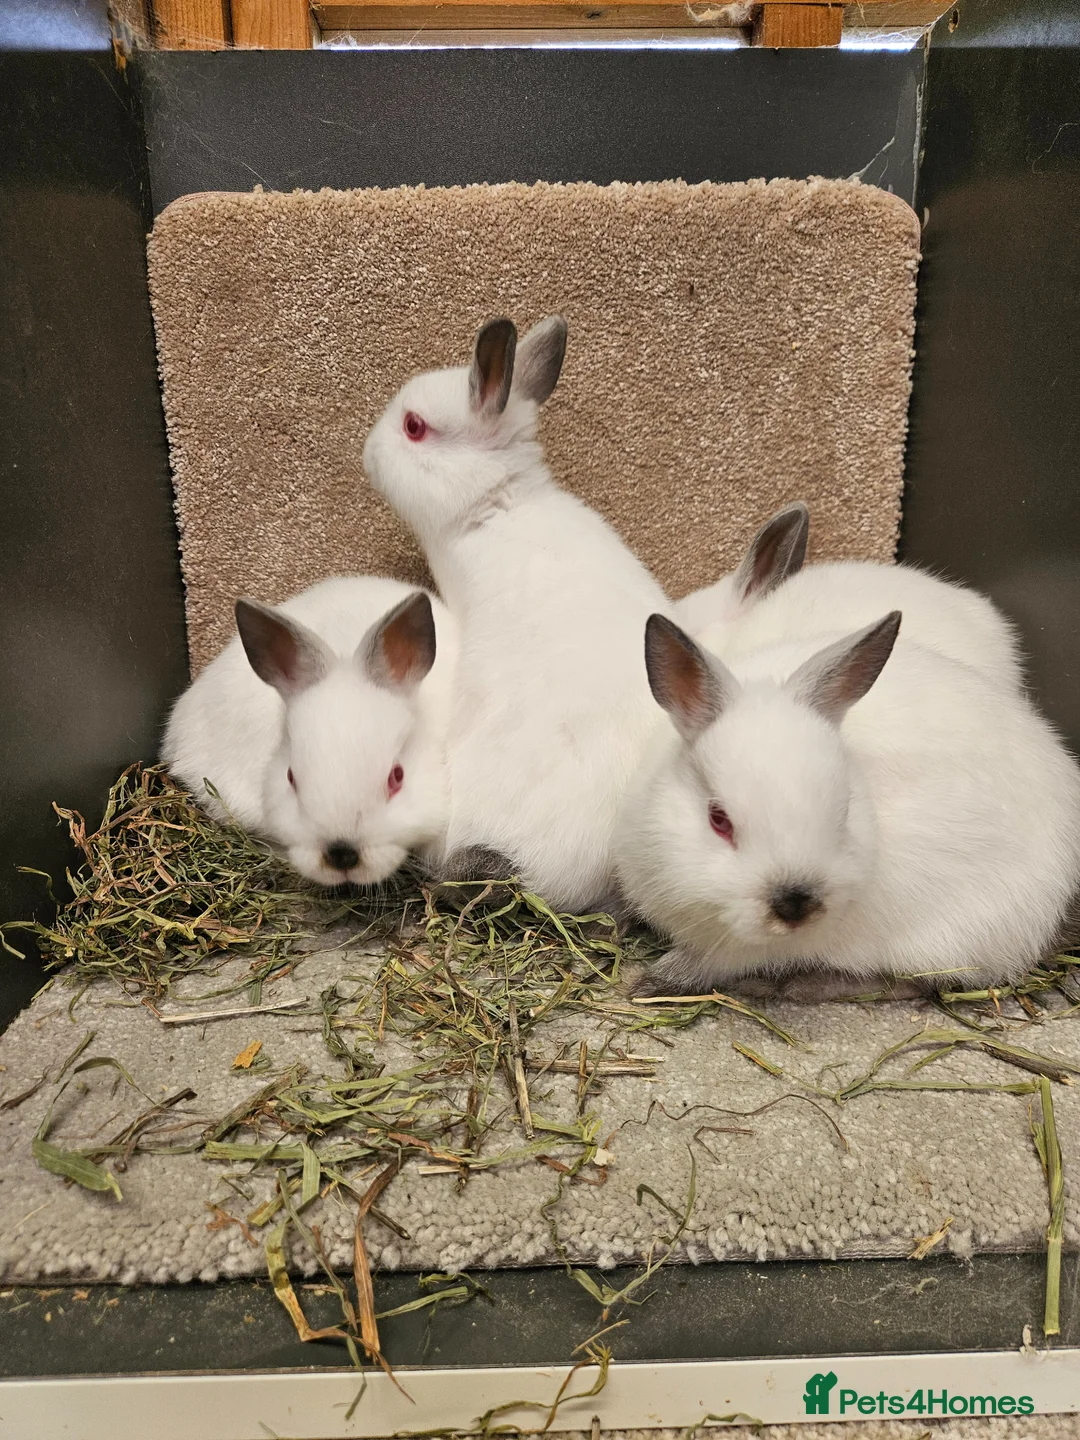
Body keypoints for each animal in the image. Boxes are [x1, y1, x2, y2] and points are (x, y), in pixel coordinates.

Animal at [614, 607, 1080, 997]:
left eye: (843, 812)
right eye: (718, 819)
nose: (796, 906)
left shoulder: (738, 950)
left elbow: (707, 965)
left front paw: (647, 981)